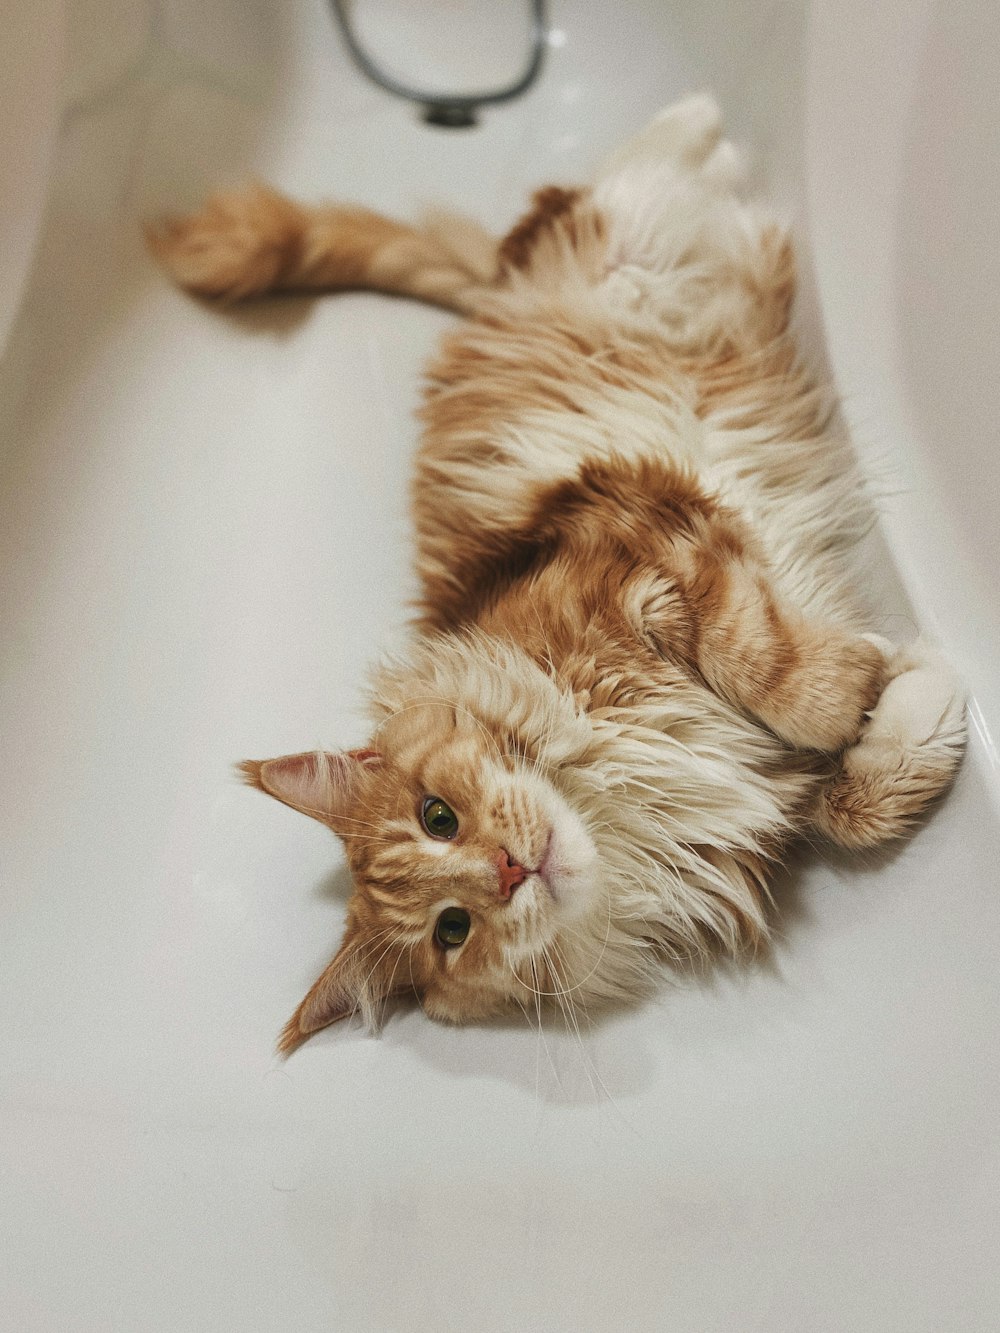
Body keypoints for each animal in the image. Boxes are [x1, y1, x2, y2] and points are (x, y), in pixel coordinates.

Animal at [152, 96, 965, 1050]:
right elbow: (855, 803)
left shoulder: (649, 547)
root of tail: (495, 291)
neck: (618, 791)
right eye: (453, 928)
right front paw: (920, 685)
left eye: (438, 815)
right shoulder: (762, 807)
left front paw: (859, 686)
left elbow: (776, 673)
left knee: (603, 187)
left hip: (614, 251)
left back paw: (700, 126)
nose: (509, 869)